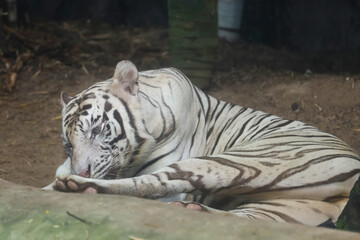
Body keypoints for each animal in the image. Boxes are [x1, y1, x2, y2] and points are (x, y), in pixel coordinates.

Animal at [45, 59, 360, 227]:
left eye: (97, 130)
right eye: (68, 145)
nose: (81, 170)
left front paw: (66, 180)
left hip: (241, 161)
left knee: (150, 183)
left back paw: (77, 186)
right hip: (285, 208)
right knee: (244, 219)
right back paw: (193, 211)